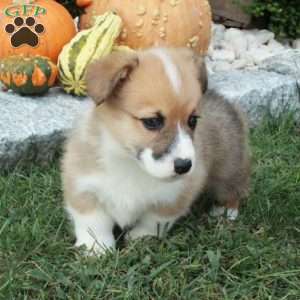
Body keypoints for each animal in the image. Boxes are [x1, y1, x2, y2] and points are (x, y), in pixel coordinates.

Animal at [60, 47, 248, 255]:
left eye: (192, 120)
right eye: (152, 121)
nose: (184, 166)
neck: (129, 164)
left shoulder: (173, 197)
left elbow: (154, 221)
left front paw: (140, 237)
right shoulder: (83, 186)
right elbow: (93, 223)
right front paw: (96, 248)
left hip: (229, 166)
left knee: (234, 188)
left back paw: (225, 211)